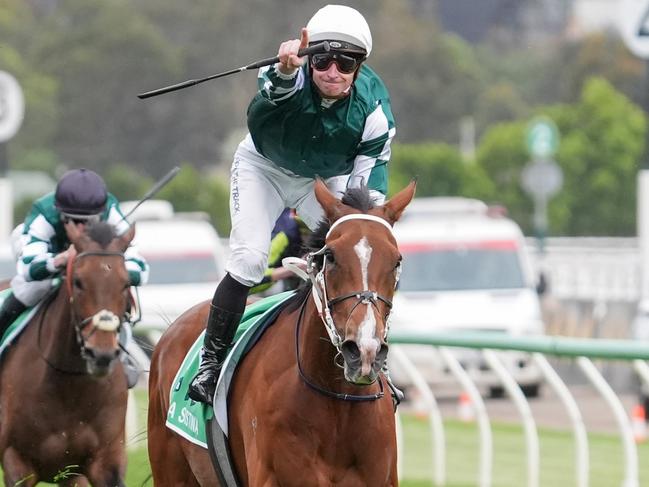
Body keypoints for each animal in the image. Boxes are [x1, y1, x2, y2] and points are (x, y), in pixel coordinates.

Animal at [0, 222, 135, 487]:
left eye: (125, 283)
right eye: (79, 281)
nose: (101, 354)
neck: (69, 388)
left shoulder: (105, 460)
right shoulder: (16, 460)